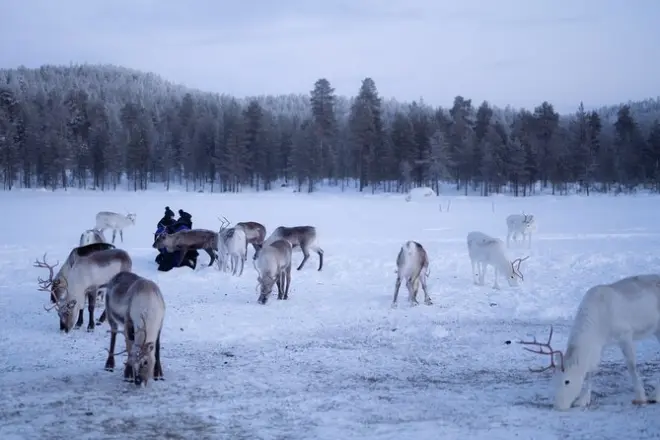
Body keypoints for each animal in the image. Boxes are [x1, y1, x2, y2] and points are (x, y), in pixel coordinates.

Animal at [518, 274, 660, 411]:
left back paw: (655, 396)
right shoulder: (600, 344)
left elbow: (631, 366)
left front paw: (641, 398)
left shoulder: (625, 334)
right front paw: (583, 400)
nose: (558, 406)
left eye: (567, 381)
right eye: (554, 381)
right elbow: (592, 370)